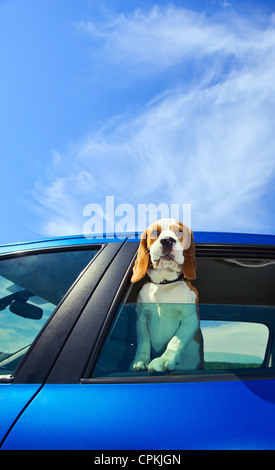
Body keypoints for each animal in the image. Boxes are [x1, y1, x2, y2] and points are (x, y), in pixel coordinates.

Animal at [130, 218, 204, 372]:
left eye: (180, 231)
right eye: (154, 232)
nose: (167, 241)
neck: (164, 283)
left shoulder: (191, 319)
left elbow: (176, 341)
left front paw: (164, 359)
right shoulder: (140, 318)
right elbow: (143, 341)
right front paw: (140, 360)